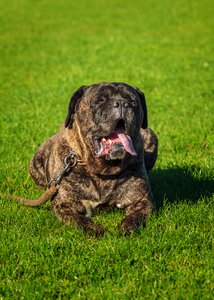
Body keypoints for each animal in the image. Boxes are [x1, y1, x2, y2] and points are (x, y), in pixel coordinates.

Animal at [29, 81, 158, 234]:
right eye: (99, 100)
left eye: (132, 102)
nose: (122, 103)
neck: (103, 169)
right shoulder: (64, 205)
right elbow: (79, 220)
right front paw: (96, 230)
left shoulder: (142, 200)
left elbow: (135, 217)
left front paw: (126, 228)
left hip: (150, 135)